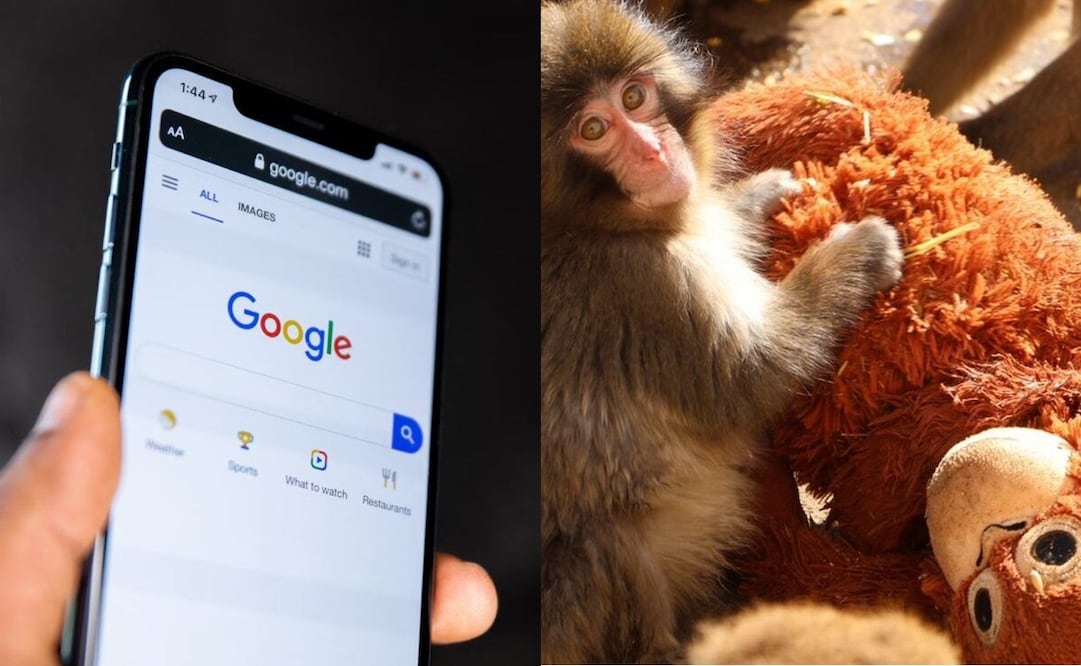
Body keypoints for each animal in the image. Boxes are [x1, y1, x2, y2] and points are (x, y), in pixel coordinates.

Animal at [540, 0, 905, 663]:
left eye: (635, 97)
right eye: (594, 130)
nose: (654, 153)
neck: (585, 223)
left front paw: (760, 195)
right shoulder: (642, 287)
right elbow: (752, 378)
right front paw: (857, 255)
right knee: (597, 547)